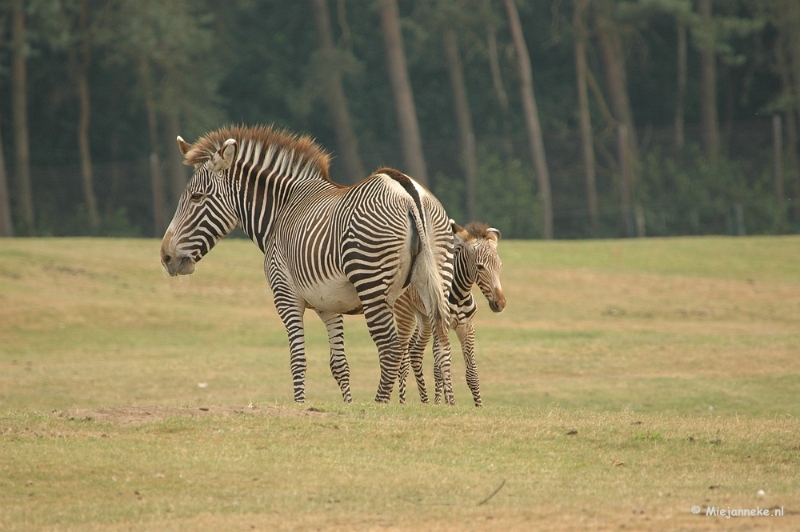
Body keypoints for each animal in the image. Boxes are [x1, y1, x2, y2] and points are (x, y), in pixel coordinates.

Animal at [161, 124, 456, 406]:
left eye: (196, 197)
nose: (165, 257)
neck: (280, 211)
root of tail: (407, 192)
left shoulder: (285, 295)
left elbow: (298, 360)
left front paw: (301, 404)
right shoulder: (329, 306)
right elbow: (339, 365)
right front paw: (347, 406)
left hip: (371, 282)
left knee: (390, 348)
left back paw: (379, 403)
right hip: (437, 274)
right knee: (442, 341)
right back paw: (449, 404)